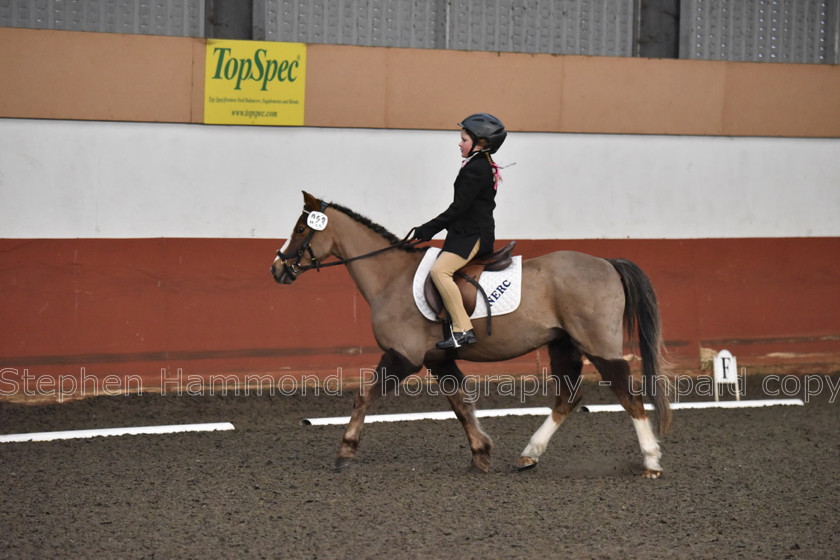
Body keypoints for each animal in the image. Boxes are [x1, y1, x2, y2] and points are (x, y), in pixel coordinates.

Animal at [272, 191, 672, 476]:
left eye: (302, 229)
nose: (277, 268)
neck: (390, 277)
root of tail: (607, 263)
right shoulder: (438, 359)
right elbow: (461, 405)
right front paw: (481, 454)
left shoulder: (403, 357)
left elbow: (364, 397)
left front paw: (344, 451)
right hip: (563, 345)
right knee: (567, 398)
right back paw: (529, 455)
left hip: (598, 345)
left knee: (628, 395)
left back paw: (651, 461)